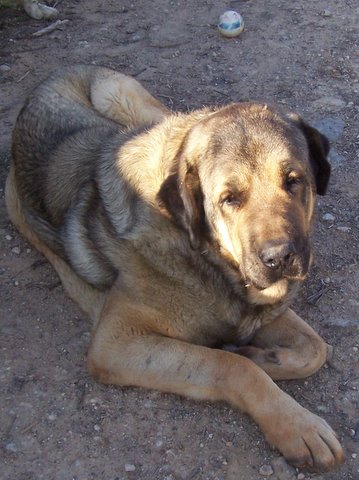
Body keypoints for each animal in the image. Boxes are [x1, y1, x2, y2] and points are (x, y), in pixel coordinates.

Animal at [4, 64, 344, 472]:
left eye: (293, 180)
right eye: (229, 199)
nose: (279, 258)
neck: (203, 252)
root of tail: (56, 74)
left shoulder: (257, 308)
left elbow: (316, 347)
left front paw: (266, 357)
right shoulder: (116, 343)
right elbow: (230, 365)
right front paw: (295, 424)